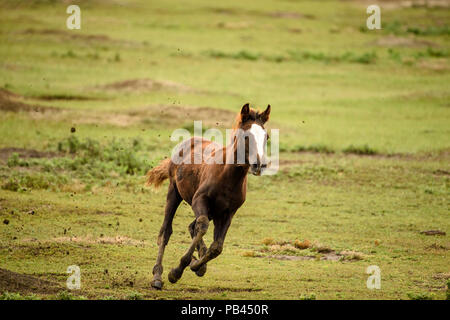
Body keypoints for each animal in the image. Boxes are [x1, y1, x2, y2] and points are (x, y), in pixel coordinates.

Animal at [146, 103, 270, 290]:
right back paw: (157, 276)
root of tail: (187, 142)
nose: (259, 165)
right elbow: (202, 226)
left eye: (266, 137)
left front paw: (196, 265)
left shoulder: (228, 212)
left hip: (213, 211)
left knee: (192, 226)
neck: (227, 175)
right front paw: (176, 271)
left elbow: (217, 247)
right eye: (246, 136)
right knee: (166, 231)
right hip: (174, 192)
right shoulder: (199, 200)